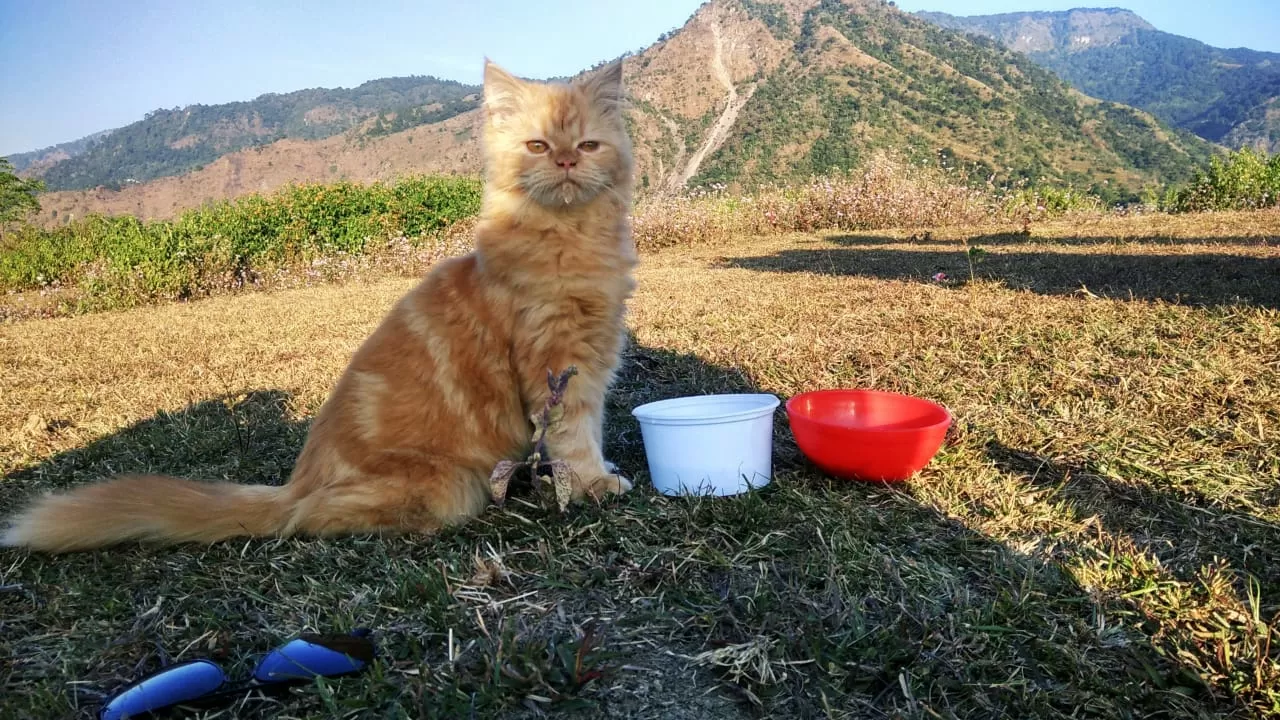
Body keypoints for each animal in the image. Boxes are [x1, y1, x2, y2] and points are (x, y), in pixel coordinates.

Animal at [2, 63, 637, 556]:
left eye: (586, 146)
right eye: (538, 146)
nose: (564, 163)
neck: (567, 242)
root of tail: (294, 485)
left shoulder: (593, 357)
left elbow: (586, 433)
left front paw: (594, 478)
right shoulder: (555, 366)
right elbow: (574, 438)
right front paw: (594, 484)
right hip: (453, 485)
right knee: (310, 521)